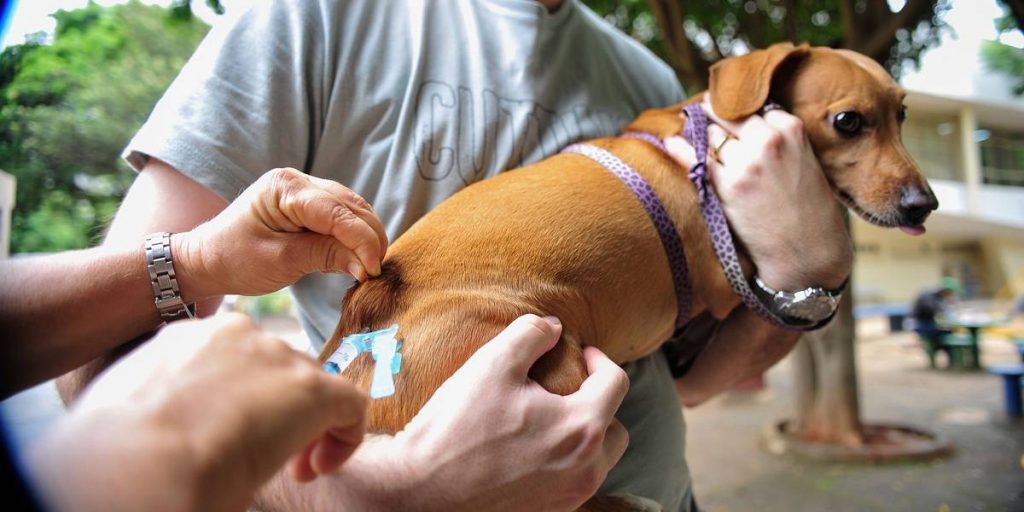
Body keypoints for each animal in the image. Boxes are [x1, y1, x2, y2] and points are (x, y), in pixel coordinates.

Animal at [317, 43, 937, 507]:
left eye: (903, 115)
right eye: (848, 121)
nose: (924, 205)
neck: (701, 139)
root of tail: (370, 310)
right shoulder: (726, 283)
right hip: (555, 363)